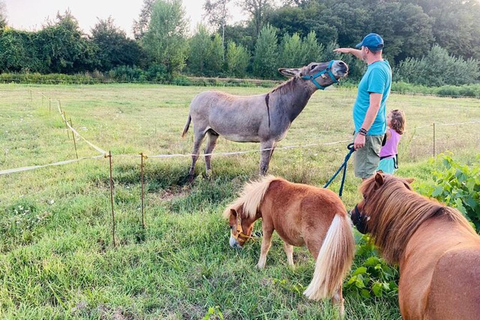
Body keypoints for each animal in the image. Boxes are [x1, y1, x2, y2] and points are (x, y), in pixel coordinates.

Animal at [223, 175, 354, 316]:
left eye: (231, 226)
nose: (232, 245)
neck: (265, 194)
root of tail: (339, 211)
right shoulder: (285, 230)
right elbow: (288, 248)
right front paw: (291, 267)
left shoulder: (268, 225)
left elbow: (265, 246)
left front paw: (260, 266)